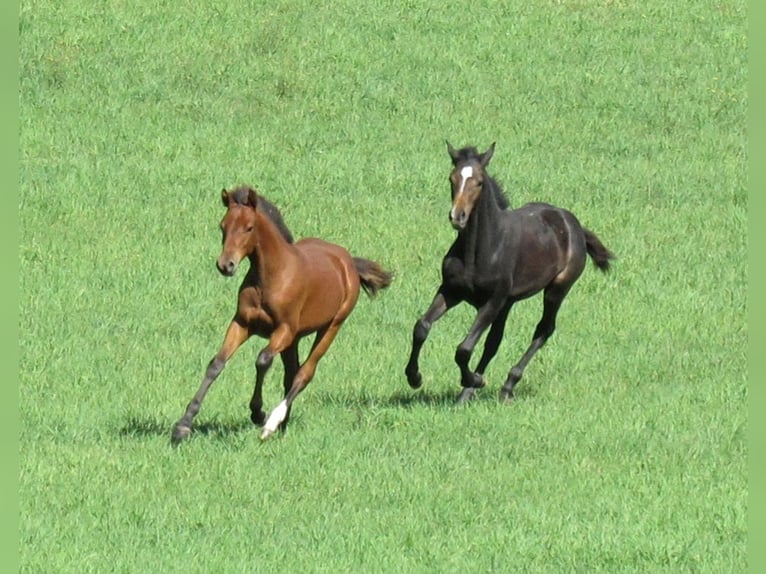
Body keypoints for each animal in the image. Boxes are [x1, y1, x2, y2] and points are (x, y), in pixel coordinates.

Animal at [172, 185, 393, 443]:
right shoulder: (242, 324)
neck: (270, 278)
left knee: (304, 374)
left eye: (249, 227)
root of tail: (347, 261)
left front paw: (257, 412)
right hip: (295, 340)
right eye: (222, 226)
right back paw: (282, 425)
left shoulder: (284, 330)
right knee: (291, 373)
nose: (226, 265)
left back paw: (271, 424)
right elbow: (216, 364)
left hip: (331, 327)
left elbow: (262, 360)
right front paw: (183, 425)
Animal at [405, 142, 615, 403]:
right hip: (509, 302)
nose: (457, 216)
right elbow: (422, 327)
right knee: (494, 343)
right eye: (452, 178)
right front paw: (414, 378)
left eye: (479, 182)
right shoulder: (452, 291)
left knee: (544, 329)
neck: (480, 250)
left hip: (556, 289)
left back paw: (506, 385)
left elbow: (464, 348)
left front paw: (473, 379)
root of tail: (573, 225)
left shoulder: (493, 301)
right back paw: (468, 393)